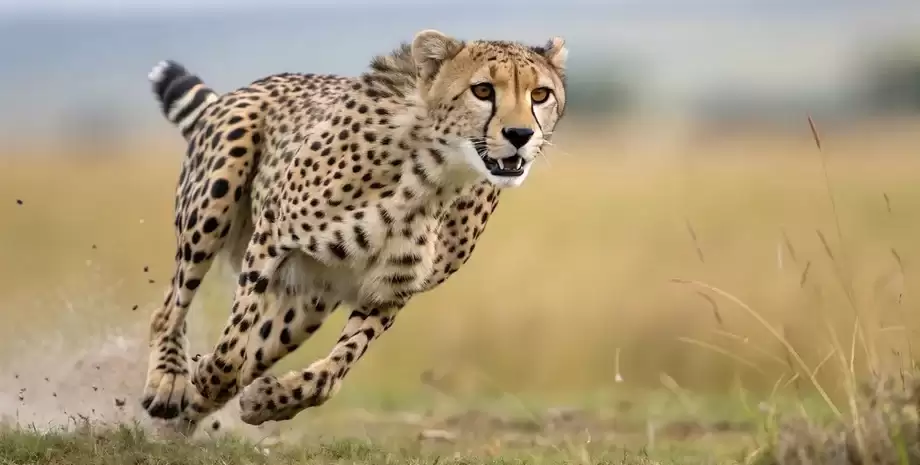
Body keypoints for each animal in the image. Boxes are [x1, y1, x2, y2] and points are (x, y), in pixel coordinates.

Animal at [140, 28, 569, 435]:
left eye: (540, 94)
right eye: (482, 90)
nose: (520, 135)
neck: (432, 176)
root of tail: (252, 86)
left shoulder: (390, 291)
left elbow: (330, 374)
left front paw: (267, 400)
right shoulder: (272, 236)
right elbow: (232, 346)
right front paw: (207, 375)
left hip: (307, 306)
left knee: (258, 348)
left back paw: (182, 420)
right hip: (215, 198)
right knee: (169, 309)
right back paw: (168, 383)